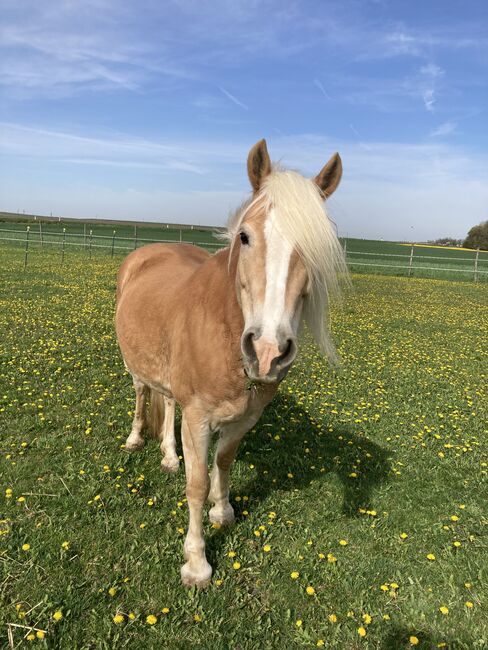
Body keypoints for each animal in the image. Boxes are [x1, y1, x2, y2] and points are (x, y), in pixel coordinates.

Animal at [115, 138, 346, 588]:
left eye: (317, 250)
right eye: (245, 236)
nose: (268, 351)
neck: (223, 332)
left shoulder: (244, 418)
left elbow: (224, 462)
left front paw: (223, 512)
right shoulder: (199, 419)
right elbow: (197, 483)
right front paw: (196, 562)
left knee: (167, 402)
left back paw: (169, 455)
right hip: (136, 370)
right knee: (141, 394)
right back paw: (135, 439)